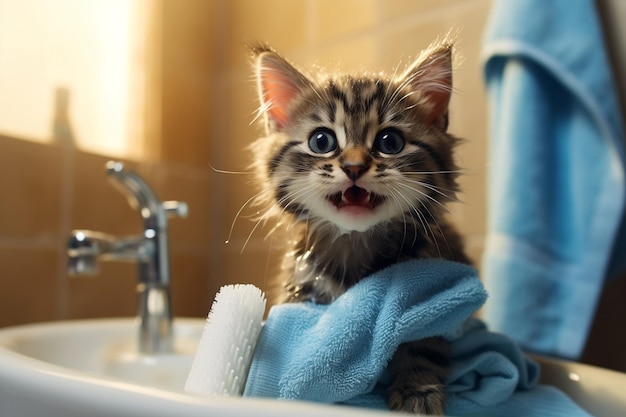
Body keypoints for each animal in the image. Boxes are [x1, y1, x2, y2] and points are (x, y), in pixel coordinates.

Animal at [246, 37, 466, 414]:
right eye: (322, 141)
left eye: (390, 142)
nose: (353, 167)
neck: (354, 244)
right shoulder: (301, 292)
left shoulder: (431, 293)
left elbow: (423, 343)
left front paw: (417, 390)